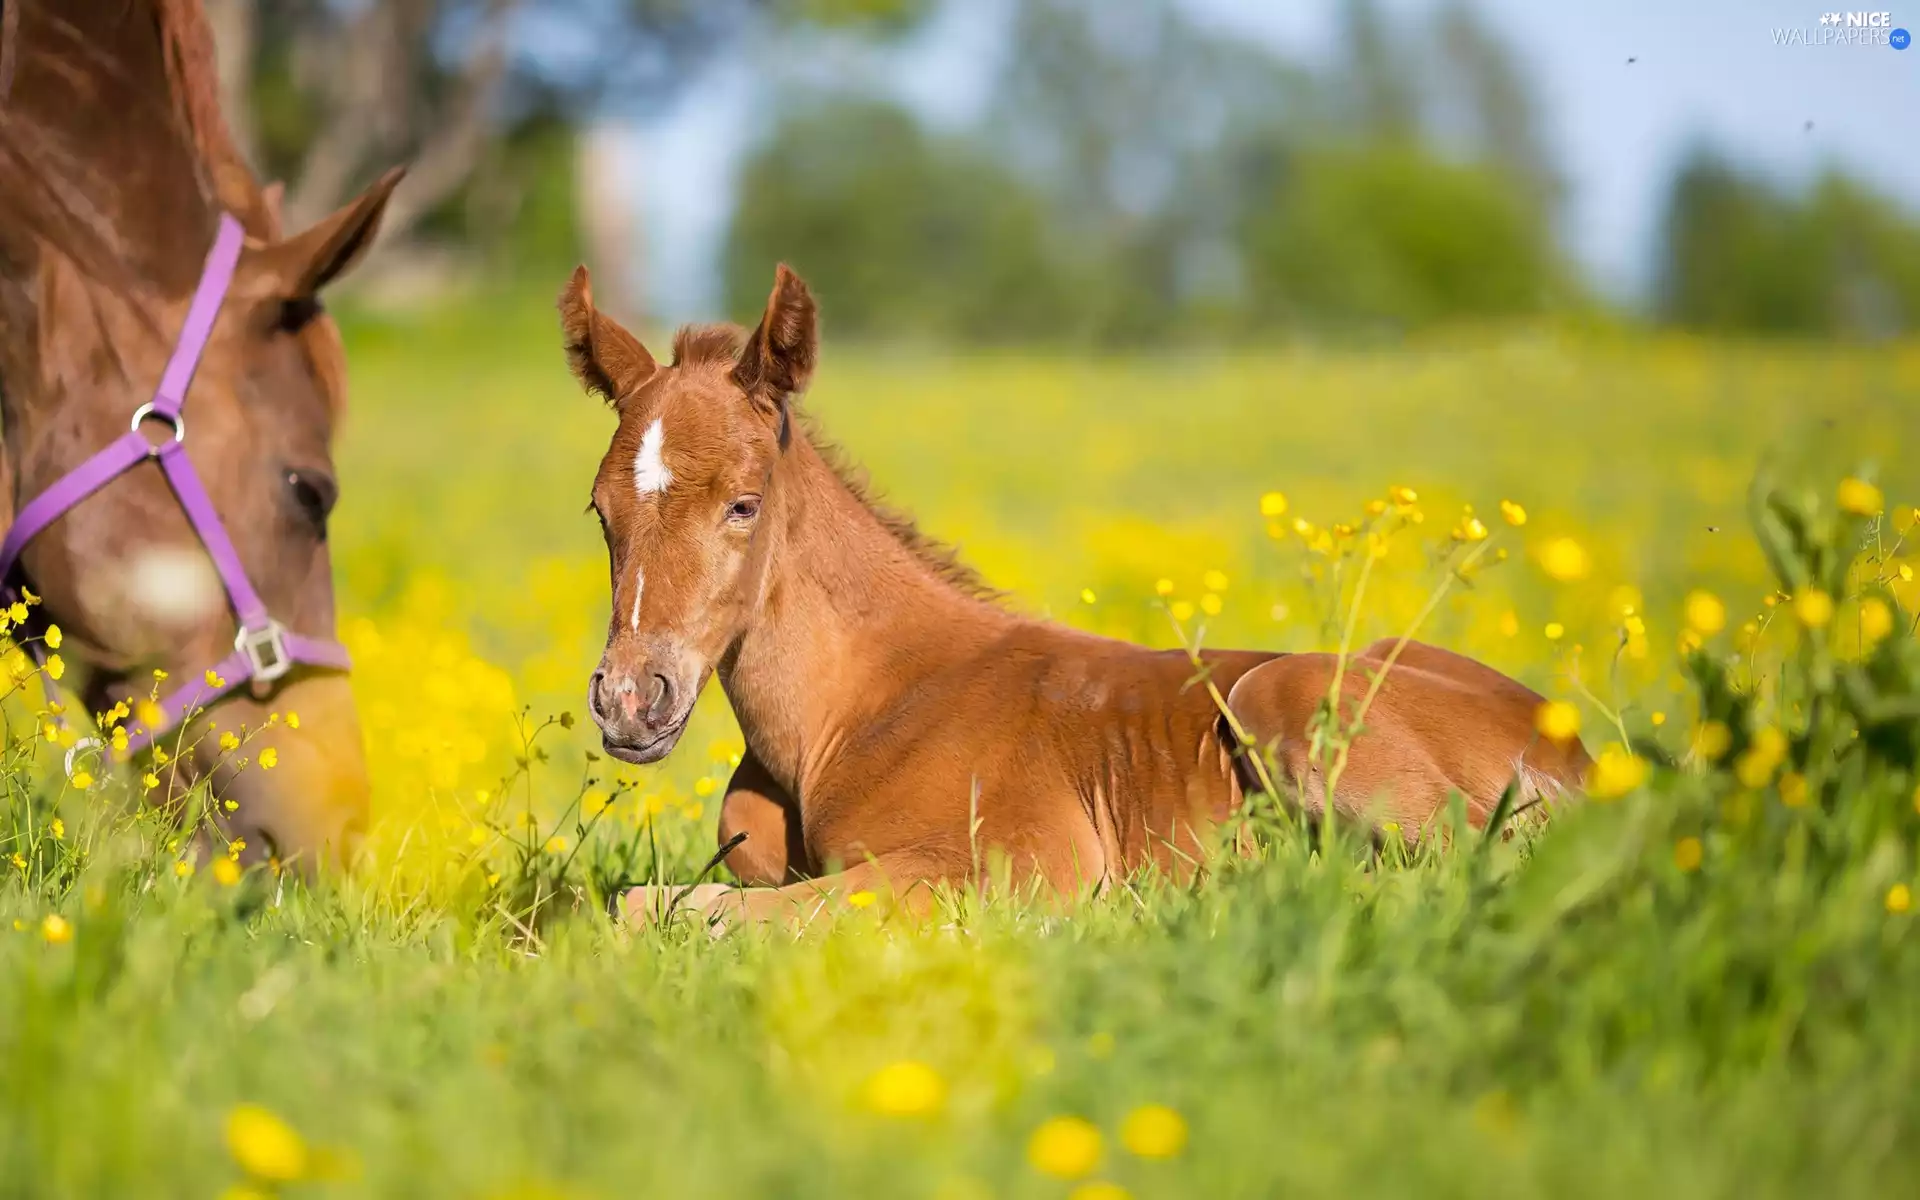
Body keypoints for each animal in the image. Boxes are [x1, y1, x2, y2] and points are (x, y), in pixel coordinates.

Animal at [556, 263, 1593, 928]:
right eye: (599, 510)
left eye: (743, 503)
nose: (631, 698)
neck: (847, 713)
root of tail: (1581, 751)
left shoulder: (1022, 861)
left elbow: (672, 910)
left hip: (1284, 696)